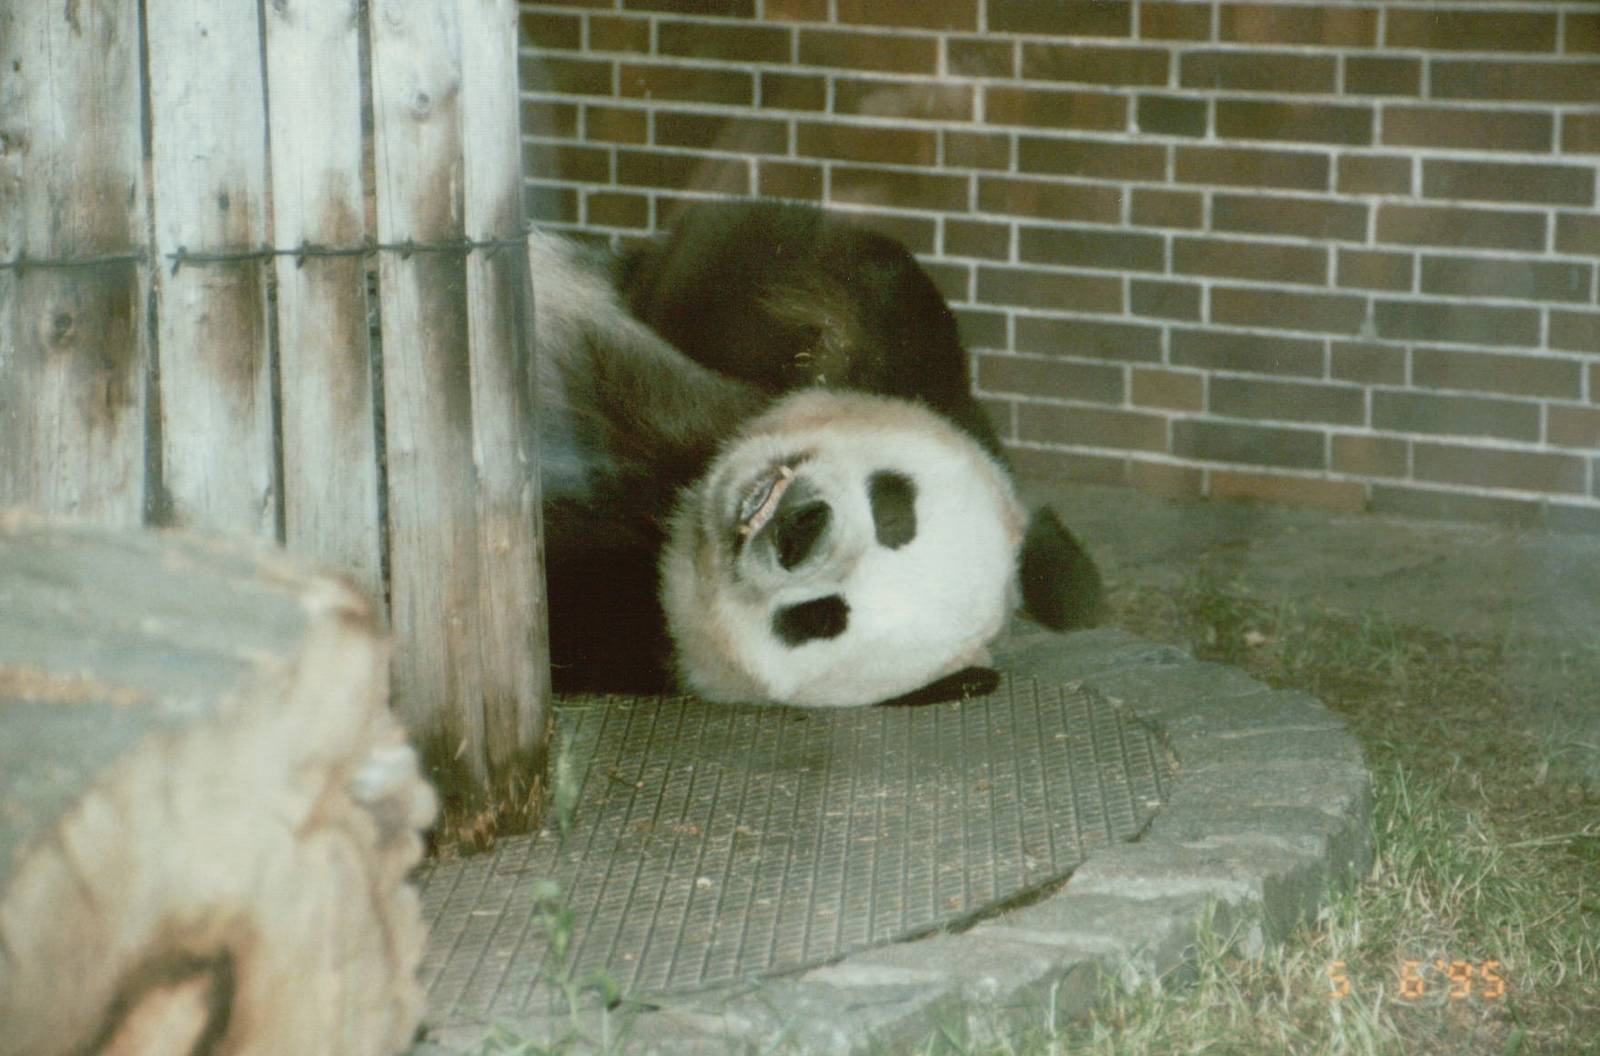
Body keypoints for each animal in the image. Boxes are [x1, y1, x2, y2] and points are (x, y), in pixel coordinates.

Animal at [532, 199, 1102, 708]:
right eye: (894, 512)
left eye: (821, 617)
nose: (799, 532)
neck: (686, 489)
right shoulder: (911, 369)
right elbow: (749, 252)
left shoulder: (633, 625)